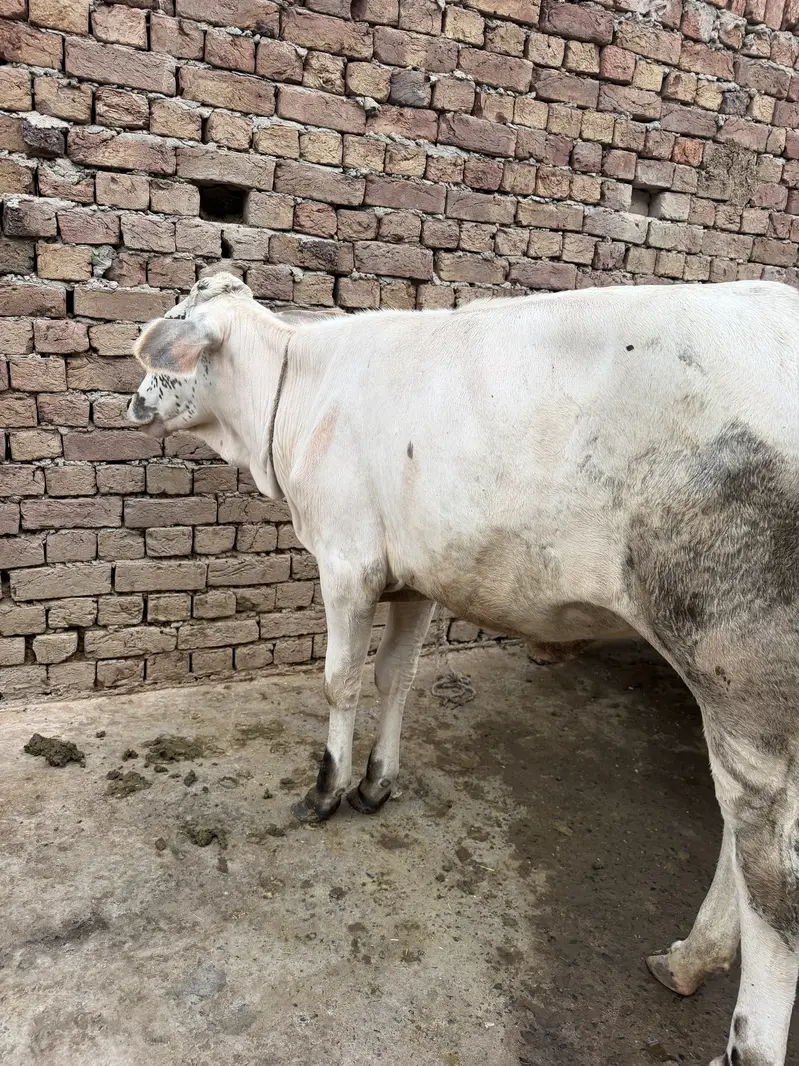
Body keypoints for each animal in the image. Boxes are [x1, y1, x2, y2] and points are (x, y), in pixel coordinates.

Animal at [128, 271, 799, 1066]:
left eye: (175, 322)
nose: (133, 400)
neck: (295, 392)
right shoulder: (413, 575)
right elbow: (395, 678)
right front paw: (376, 783)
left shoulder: (347, 563)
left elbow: (339, 682)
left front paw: (326, 790)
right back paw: (688, 958)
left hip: (739, 673)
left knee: (772, 876)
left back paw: (742, 1036)